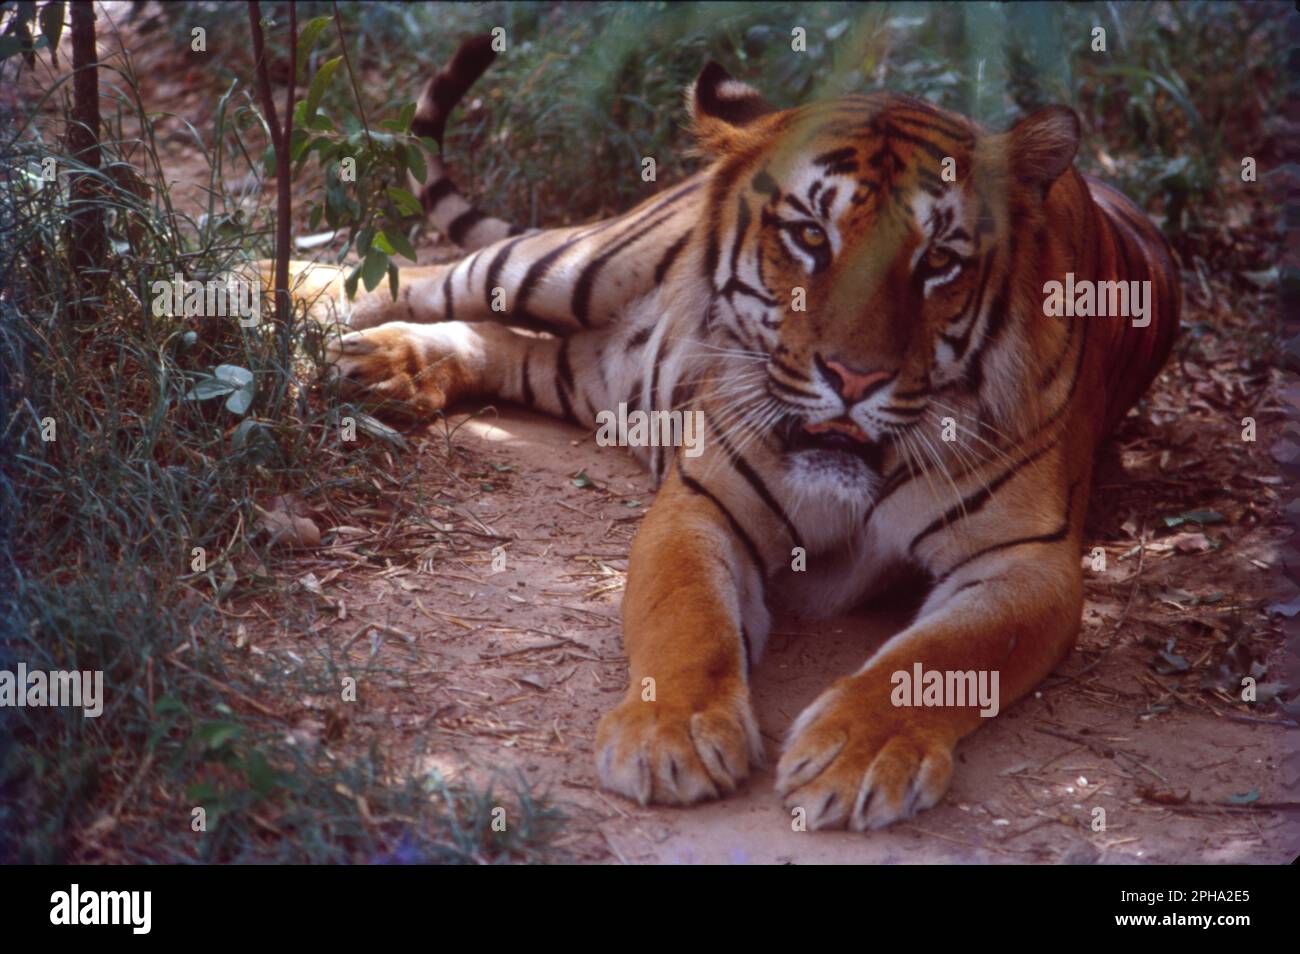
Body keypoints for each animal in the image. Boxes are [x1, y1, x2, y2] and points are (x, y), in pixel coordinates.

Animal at [293, 38, 1180, 830]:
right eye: (810, 236)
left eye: (938, 262)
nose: (852, 378)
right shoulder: (702, 500)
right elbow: (689, 620)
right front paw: (672, 735)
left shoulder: (1026, 564)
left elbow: (940, 661)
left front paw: (859, 755)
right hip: (575, 267)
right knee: (418, 275)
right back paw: (281, 294)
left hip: (588, 373)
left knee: (509, 344)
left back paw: (387, 368)